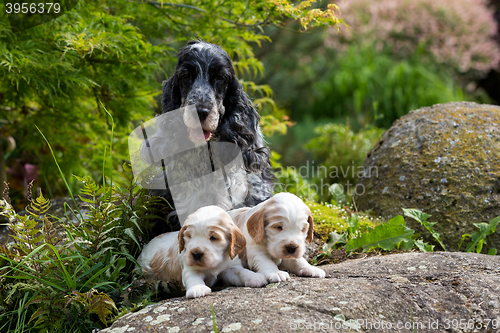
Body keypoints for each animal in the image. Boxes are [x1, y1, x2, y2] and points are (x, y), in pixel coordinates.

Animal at [137, 205, 268, 298]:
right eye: (189, 236)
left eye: (213, 237)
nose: (196, 254)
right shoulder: (189, 267)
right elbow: (193, 276)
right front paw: (198, 288)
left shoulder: (230, 267)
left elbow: (241, 272)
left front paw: (255, 277)